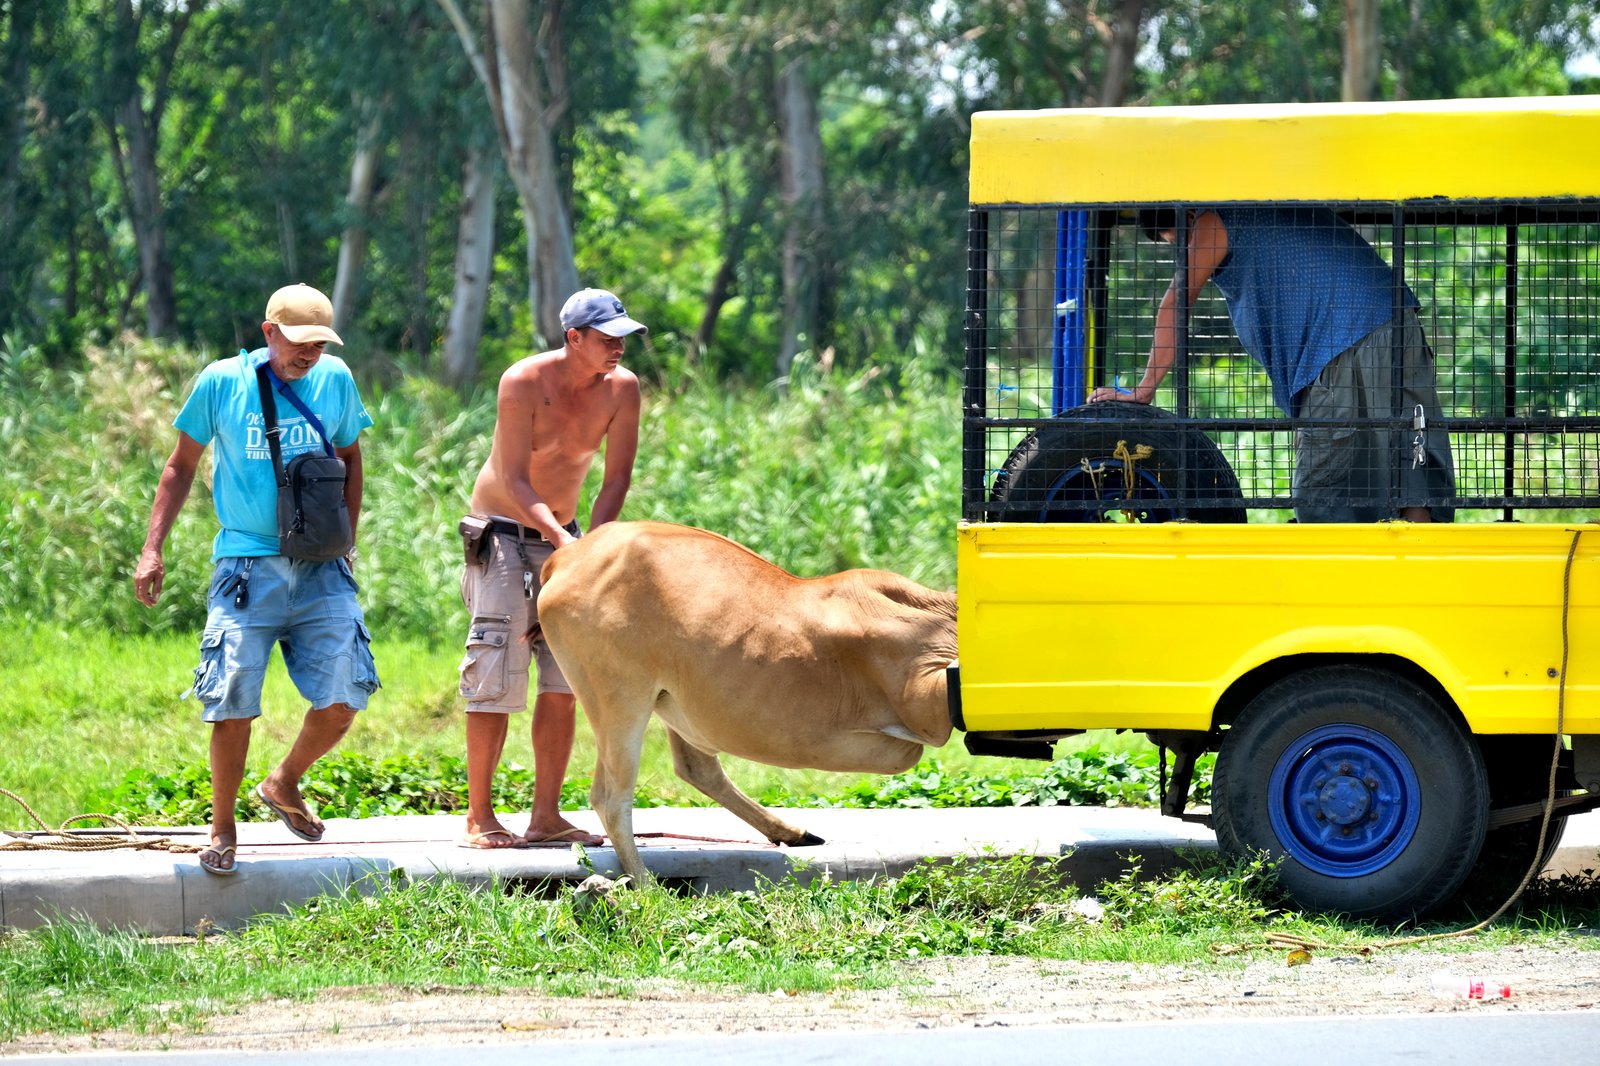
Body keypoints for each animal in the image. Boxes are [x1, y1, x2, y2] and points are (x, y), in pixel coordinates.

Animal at [536, 521, 959, 885]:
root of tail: (566, 559)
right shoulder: (927, 704)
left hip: (668, 704)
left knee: (696, 768)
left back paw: (790, 831)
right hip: (620, 698)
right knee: (611, 797)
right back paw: (646, 884)